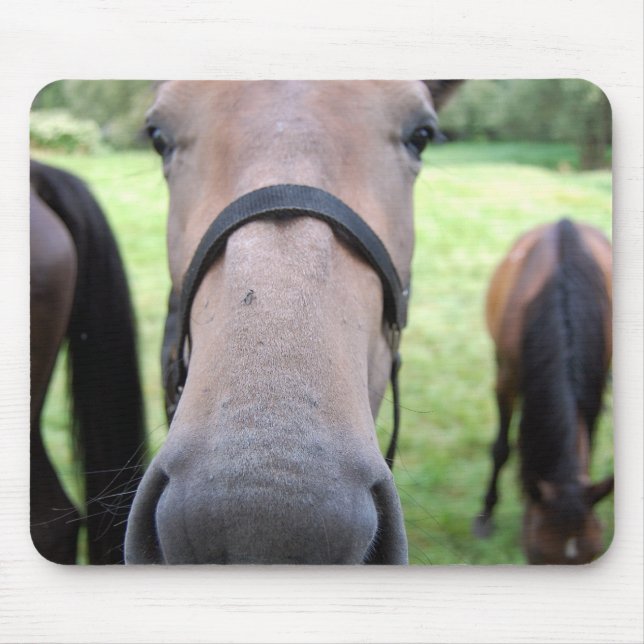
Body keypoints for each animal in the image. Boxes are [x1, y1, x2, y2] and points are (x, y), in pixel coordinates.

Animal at [473, 218, 613, 564]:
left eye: (592, 556)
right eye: (537, 555)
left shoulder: (593, 388)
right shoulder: (507, 379)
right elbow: (501, 449)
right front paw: (486, 513)